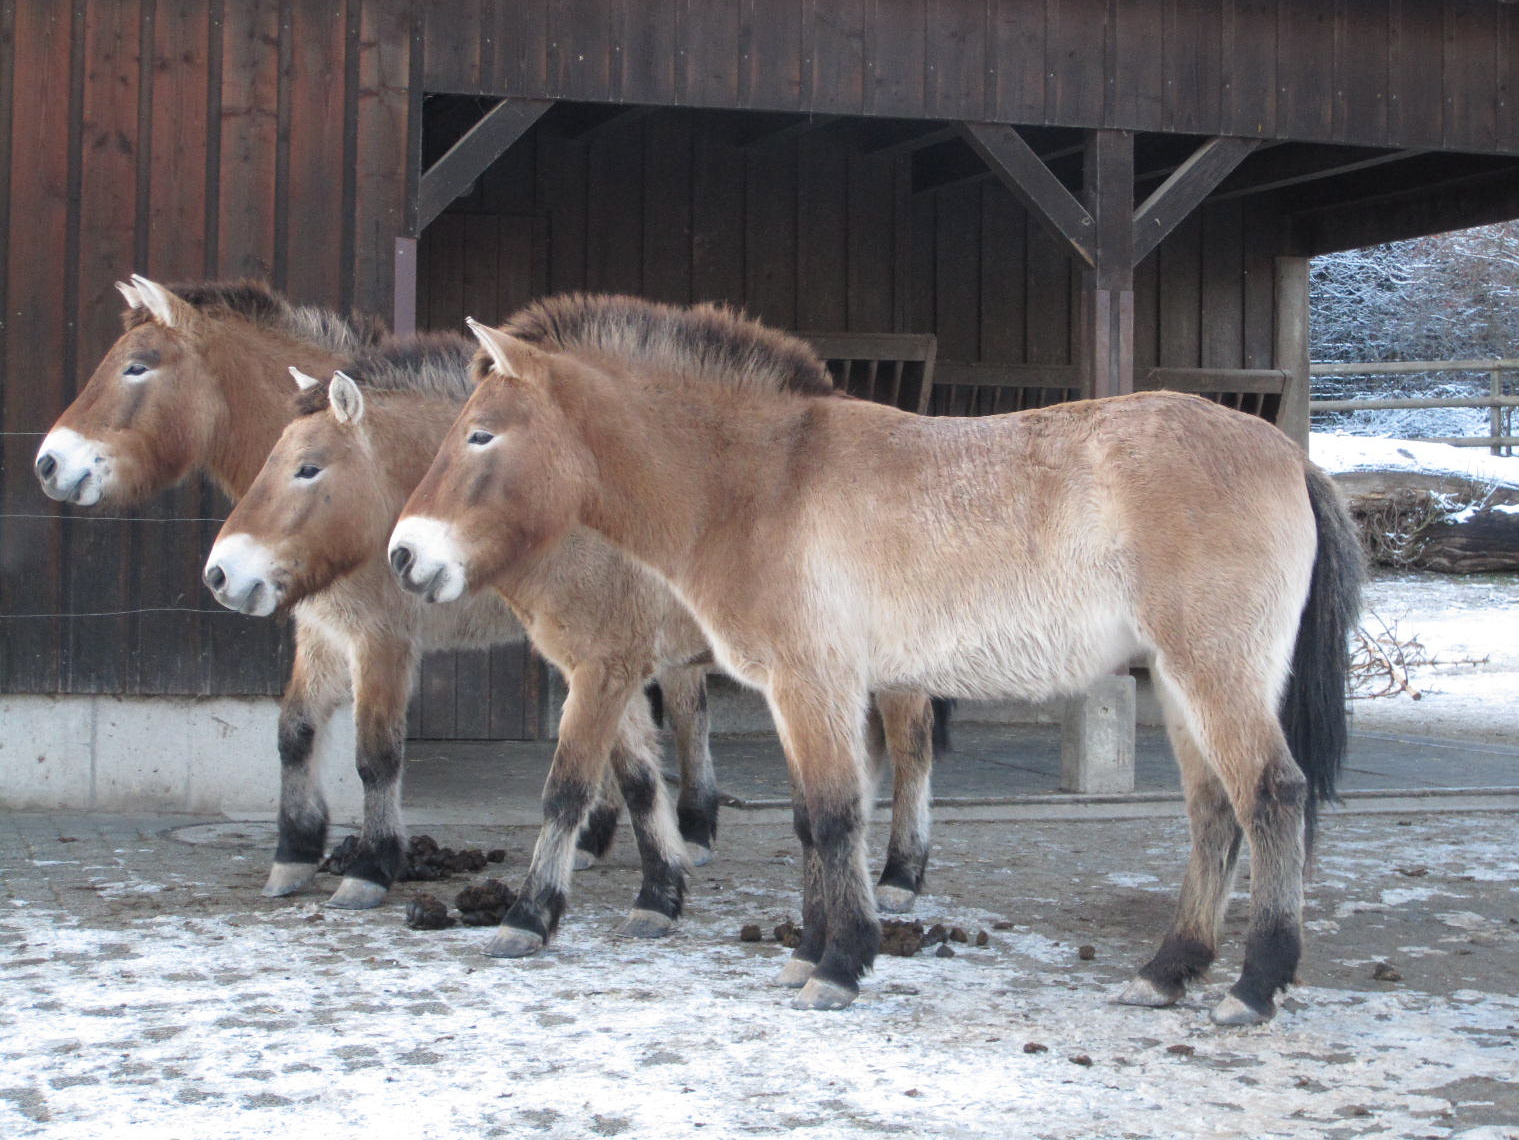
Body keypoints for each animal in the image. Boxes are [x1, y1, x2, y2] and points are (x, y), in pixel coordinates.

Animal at [32, 284, 695, 912]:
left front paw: (369, 869)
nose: (49, 464)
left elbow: (376, 754)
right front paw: (295, 854)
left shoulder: (381, 639)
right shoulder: (323, 629)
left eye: (136, 367)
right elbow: (294, 731)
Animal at [388, 294, 1367, 1027]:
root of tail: (1287, 456)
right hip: (1178, 681)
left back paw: (1253, 984)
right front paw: (813, 950)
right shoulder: (797, 691)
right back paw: (1168, 970)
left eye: (480, 435)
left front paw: (840, 964)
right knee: (1213, 812)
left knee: (1270, 796)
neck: (757, 484)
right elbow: (819, 816)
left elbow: (827, 816)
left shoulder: (801, 681)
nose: (405, 555)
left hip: (1213, 674)